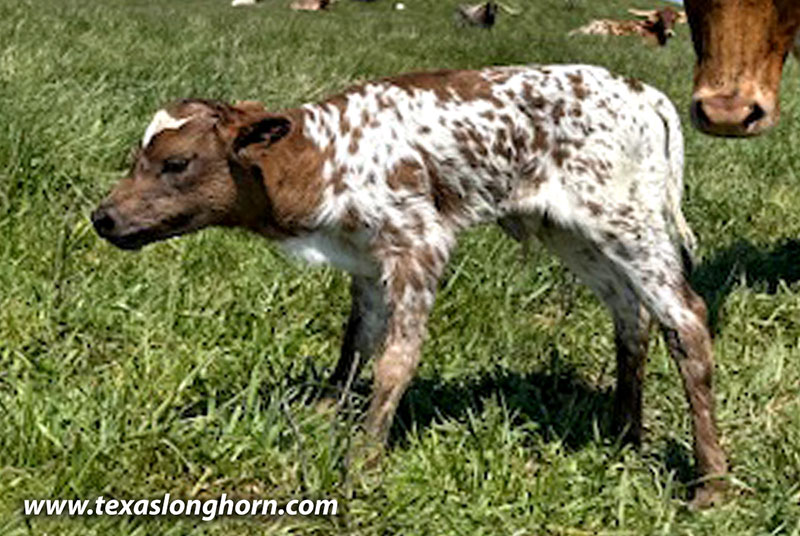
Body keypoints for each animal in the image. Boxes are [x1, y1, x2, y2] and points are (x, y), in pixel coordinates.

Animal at [92, 65, 728, 507]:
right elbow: (355, 342)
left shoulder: (418, 242)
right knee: (630, 314)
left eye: (176, 163)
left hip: (628, 219)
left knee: (685, 319)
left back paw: (711, 483)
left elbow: (397, 357)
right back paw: (623, 434)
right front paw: (324, 412)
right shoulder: (366, 262)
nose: (103, 218)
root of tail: (645, 94)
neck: (322, 161)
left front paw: (364, 461)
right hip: (572, 230)